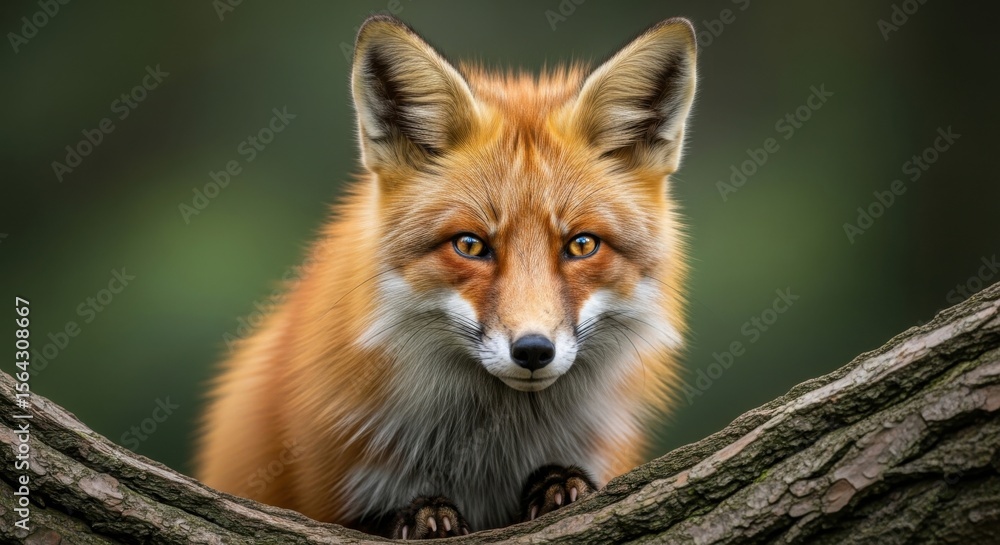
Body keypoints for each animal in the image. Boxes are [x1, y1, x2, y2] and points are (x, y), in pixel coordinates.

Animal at [196, 14, 697, 539]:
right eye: (470, 245)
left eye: (581, 245)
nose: (533, 351)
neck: (490, 456)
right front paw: (422, 513)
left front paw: (557, 485)